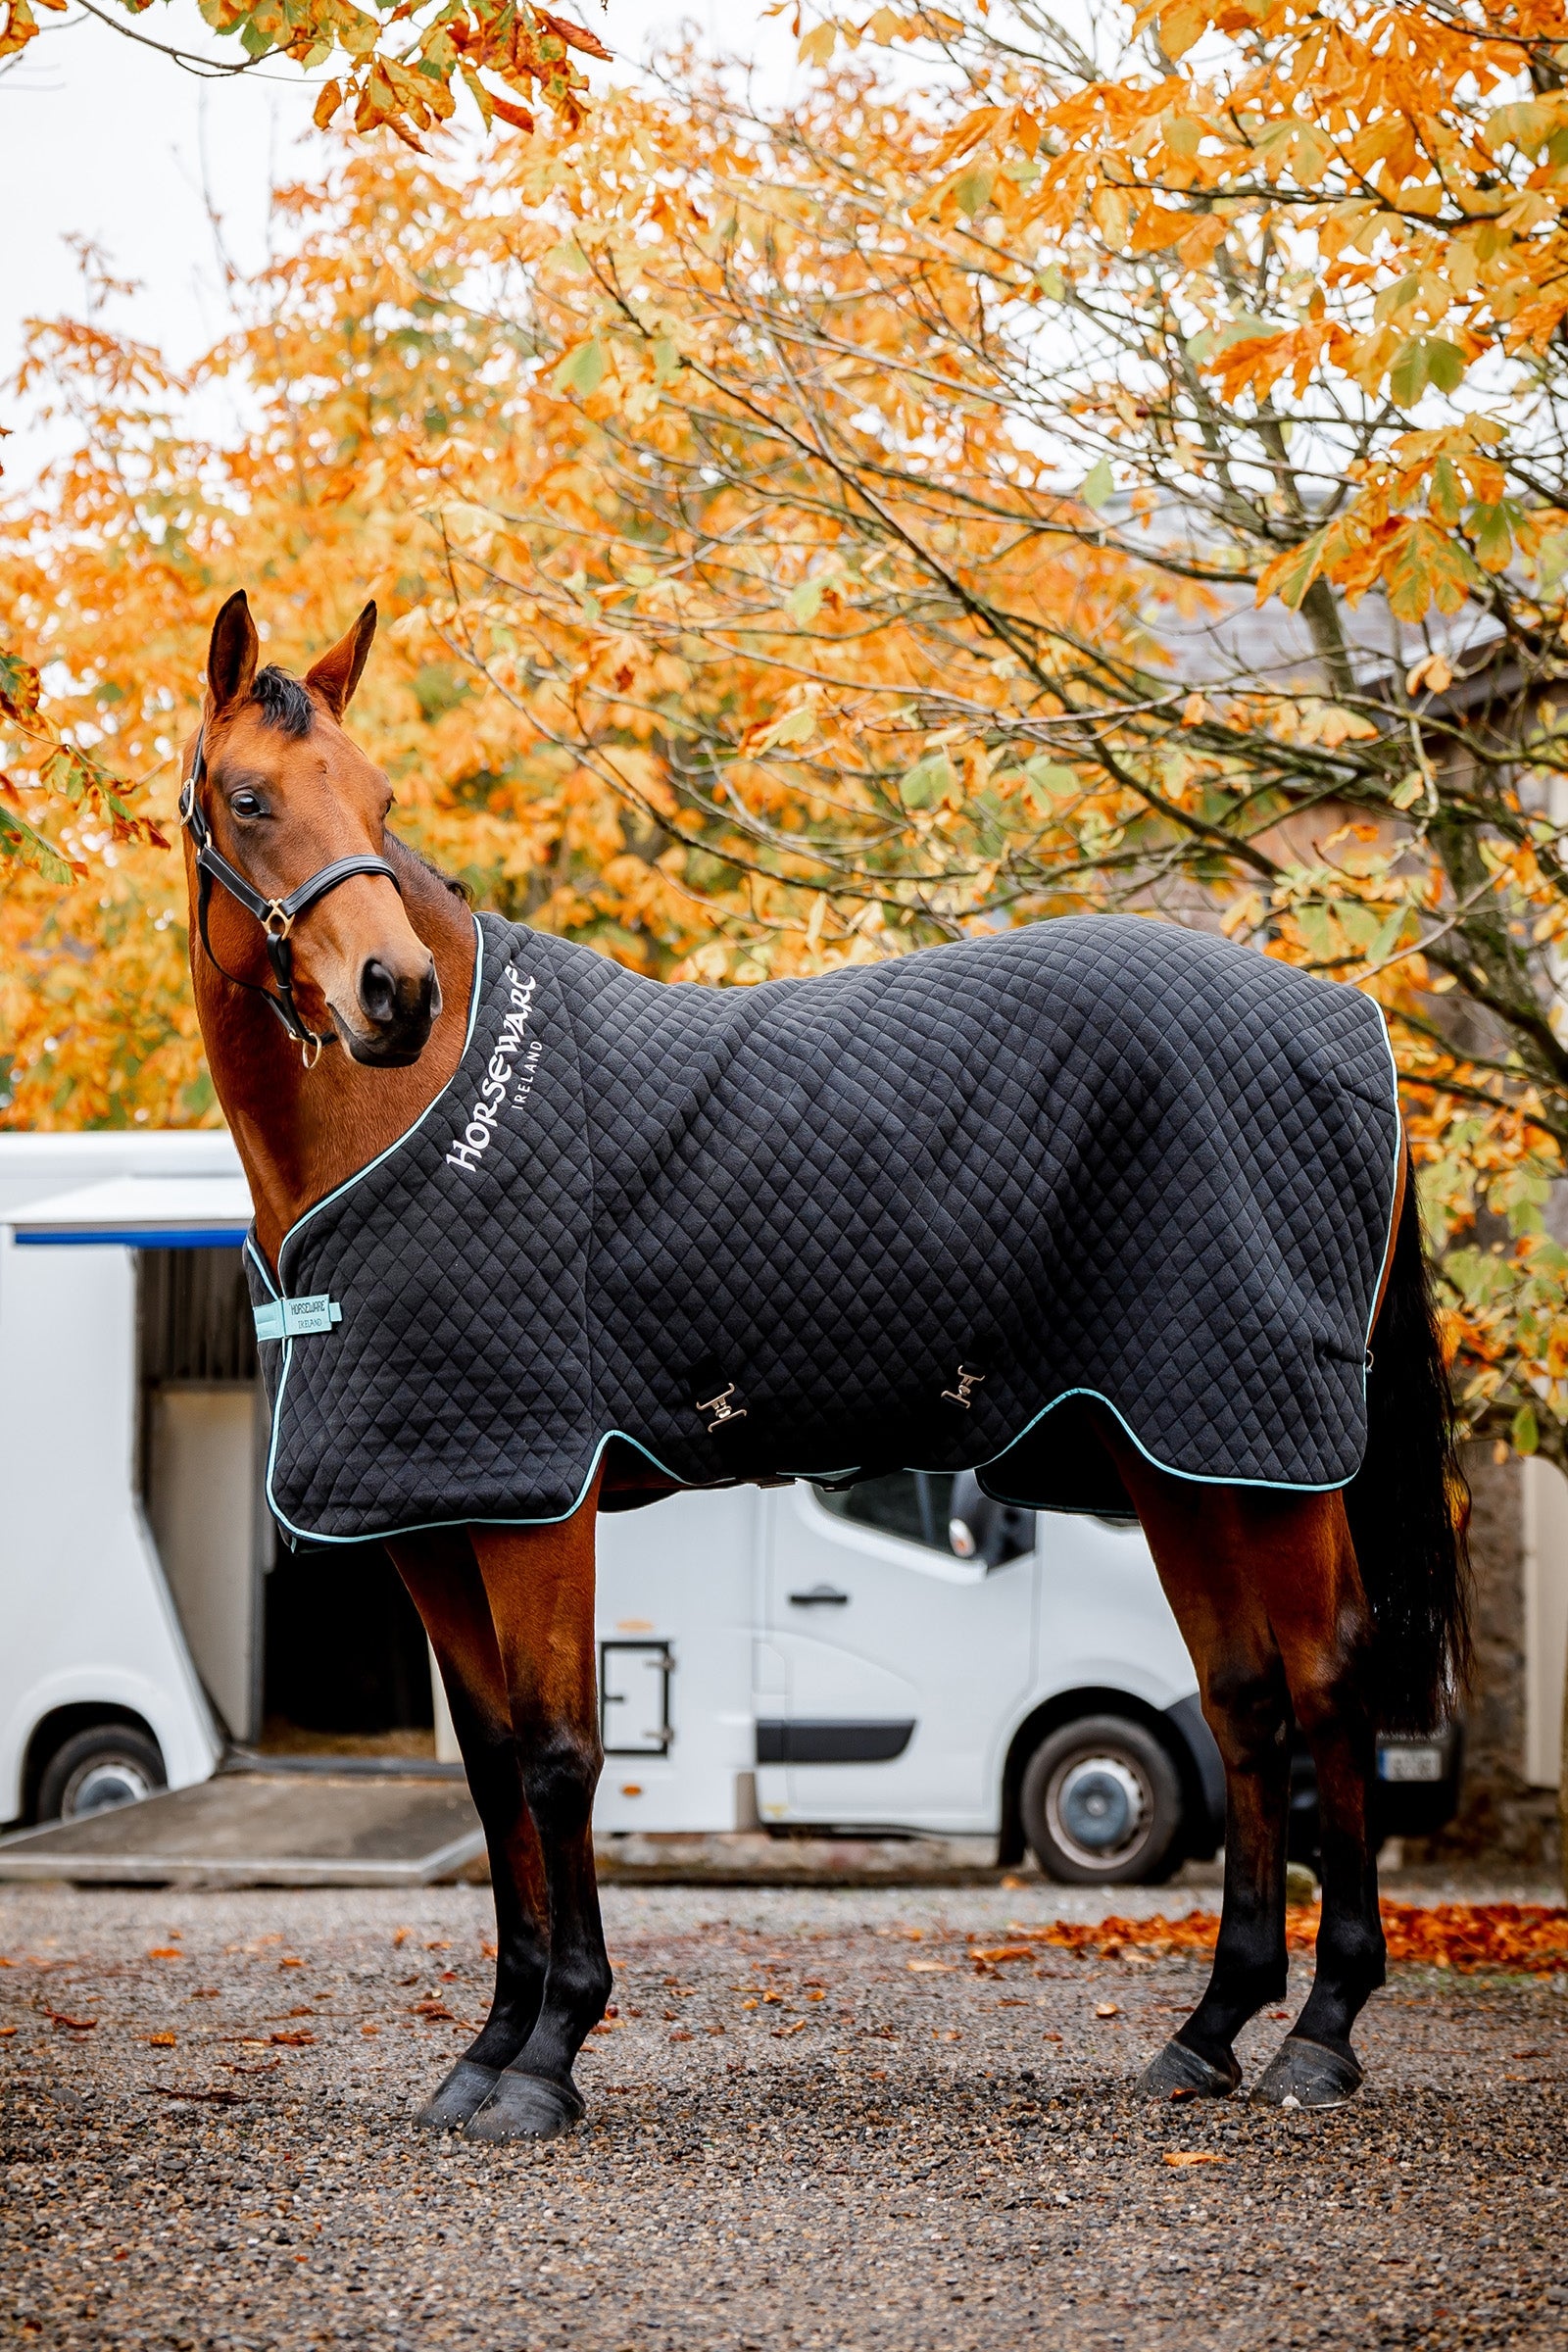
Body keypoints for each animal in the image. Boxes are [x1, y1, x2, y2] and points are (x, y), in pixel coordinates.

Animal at [178, 588, 1469, 2144]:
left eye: (377, 800)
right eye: (252, 800)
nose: (397, 993)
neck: (410, 1124)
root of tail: (1348, 1026)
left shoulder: (536, 1506)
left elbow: (559, 1755)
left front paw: (550, 2053)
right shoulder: (434, 1514)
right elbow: (491, 1772)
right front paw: (483, 2051)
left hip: (1269, 1457)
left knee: (1329, 1682)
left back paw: (1323, 2034)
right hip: (1187, 1458)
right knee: (1244, 1700)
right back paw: (1211, 2028)